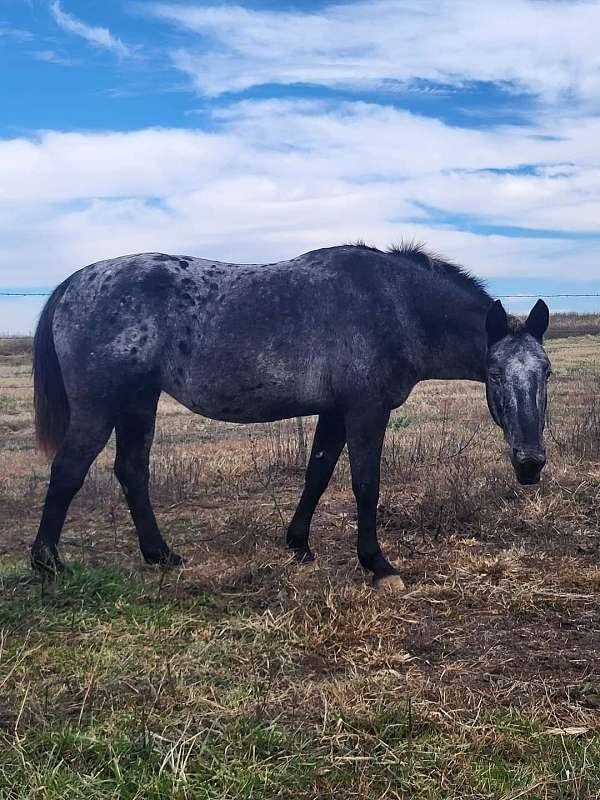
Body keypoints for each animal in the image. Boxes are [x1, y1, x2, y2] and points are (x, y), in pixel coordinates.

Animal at [31, 241, 548, 592]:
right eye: (494, 375)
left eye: (546, 372)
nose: (530, 464)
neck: (395, 303)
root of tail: (75, 282)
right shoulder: (365, 410)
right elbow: (366, 482)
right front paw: (377, 565)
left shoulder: (335, 412)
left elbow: (317, 473)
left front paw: (298, 545)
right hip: (100, 405)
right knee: (68, 471)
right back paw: (48, 563)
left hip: (139, 401)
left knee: (132, 470)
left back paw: (162, 555)